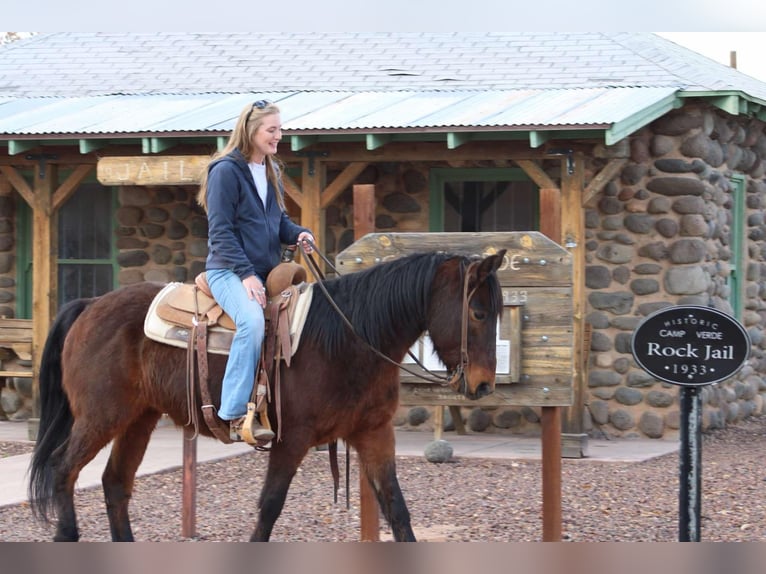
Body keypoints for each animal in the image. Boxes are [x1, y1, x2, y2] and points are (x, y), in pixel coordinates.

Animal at [30, 250, 508, 544]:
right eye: (477, 312)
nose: (484, 384)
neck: (349, 340)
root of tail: (90, 305)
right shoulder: (290, 440)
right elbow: (269, 509)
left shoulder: (374, 434)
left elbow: (397, 509)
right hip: (100, 417)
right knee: (63, 468)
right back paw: (66, 534)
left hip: (138, 419)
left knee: (114, 483)